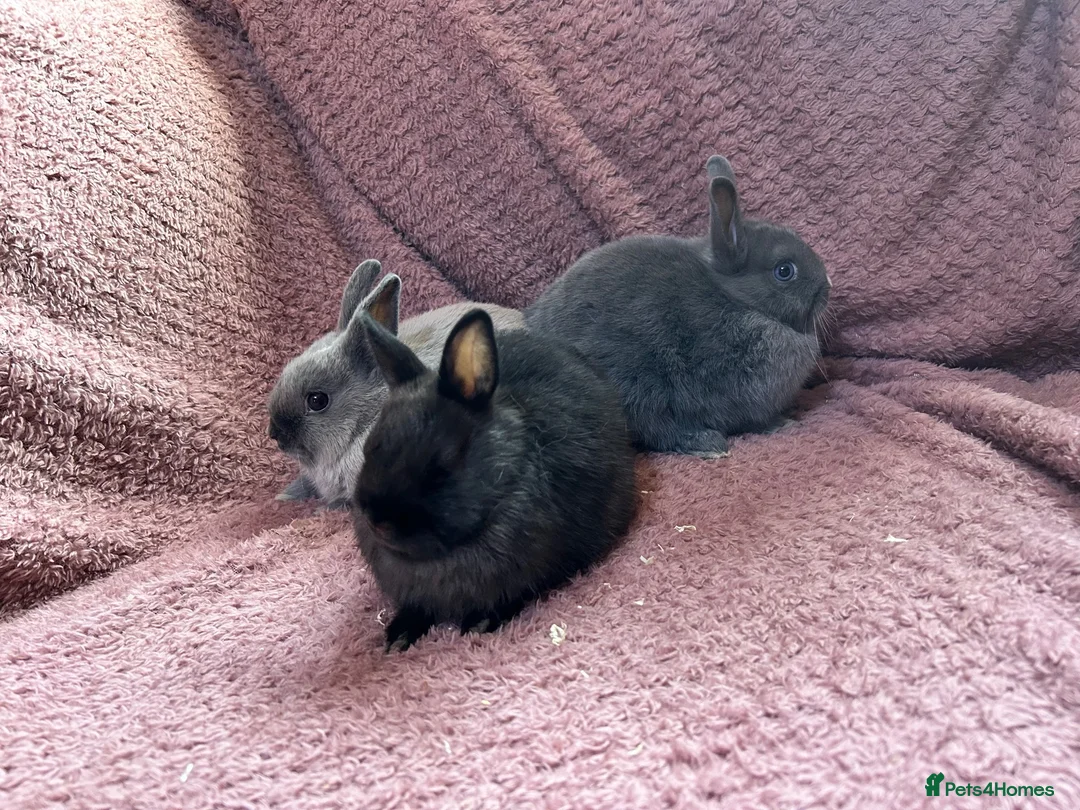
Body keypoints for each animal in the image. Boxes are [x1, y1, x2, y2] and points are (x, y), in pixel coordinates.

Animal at [525, 154, 832, 459]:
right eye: (784, 270)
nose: (828, 285)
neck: (738, 300)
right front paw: (778, 423)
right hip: (634, 377)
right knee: (655, 427)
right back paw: (708, 443)